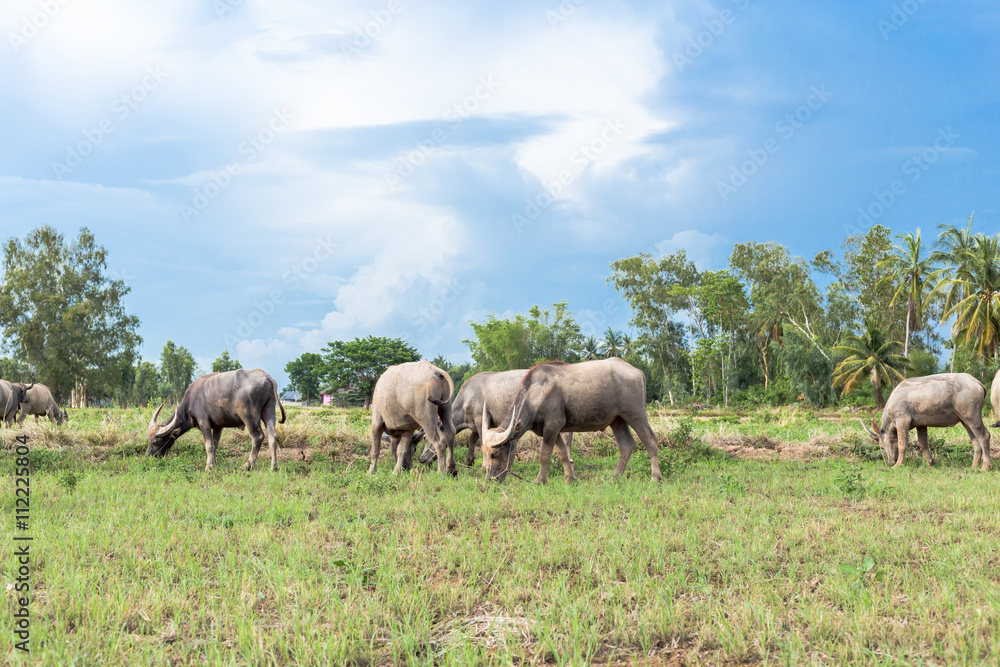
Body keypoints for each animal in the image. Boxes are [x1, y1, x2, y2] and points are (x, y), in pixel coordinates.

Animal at [145, 368, 286, 472]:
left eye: (156, 442)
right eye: (148, 441)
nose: (147, 457)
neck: (191, 400)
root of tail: (265, 376)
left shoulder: (204, 422)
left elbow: (209, 445)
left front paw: (208, 467)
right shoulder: (218, 426)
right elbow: (216, 444)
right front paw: (215, 463)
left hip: (249, 416)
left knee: (257, 437)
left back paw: (248, 465)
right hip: (269, 410)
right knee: (272, 436)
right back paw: (274, 466)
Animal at [414, 370, 576, 480]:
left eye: (427, 439)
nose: (421, 459)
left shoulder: (480, 418)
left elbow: (480, 442)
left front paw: (483, 466)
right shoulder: (478, 423)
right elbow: (472, 439)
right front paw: (469, 461)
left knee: (567, 435)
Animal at [480, 360, 660, 486]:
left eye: (495, 454)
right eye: (484, 454)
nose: (490, 479)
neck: (535, 394)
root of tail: (635, 371)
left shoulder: (552, 427)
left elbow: (544, 455)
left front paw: (540, 481)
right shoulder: (553, 431)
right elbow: (562, 454)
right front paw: (570, 479)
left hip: (635, 414)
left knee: (650, 440)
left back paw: (655, 478)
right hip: (617, 420)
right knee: (626, 445)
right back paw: (615, 478)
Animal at [860, 374, 992, 472]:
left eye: (882, 446)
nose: (890, 461)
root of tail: (978, 383)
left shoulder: (902, 420)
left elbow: (902, 444)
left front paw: (898, 464)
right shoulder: (921, 424)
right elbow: (923, 443)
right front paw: (930, 462)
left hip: (972, 416)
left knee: (984, 436)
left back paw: (985, 466)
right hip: (964, 419)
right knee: (975, 440)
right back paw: (974, 466)